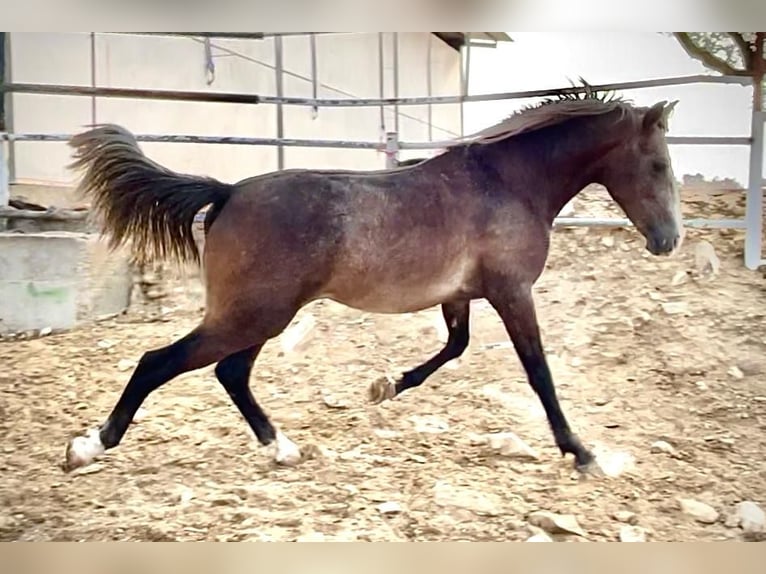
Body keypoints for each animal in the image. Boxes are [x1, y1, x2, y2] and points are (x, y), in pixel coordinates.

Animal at [61, 91, 684, 476]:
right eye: (658, 165)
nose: (669, 241)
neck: (509, 183)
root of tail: (228, 192)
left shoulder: (460, 296)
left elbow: (455, 347)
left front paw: (385, 386)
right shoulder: (512, 293)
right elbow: (538, 373)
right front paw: (581, 453)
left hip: (260, 316)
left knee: (229, 372)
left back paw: (283, 448)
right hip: (252, 314)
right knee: (159, 362)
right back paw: (87, 447)